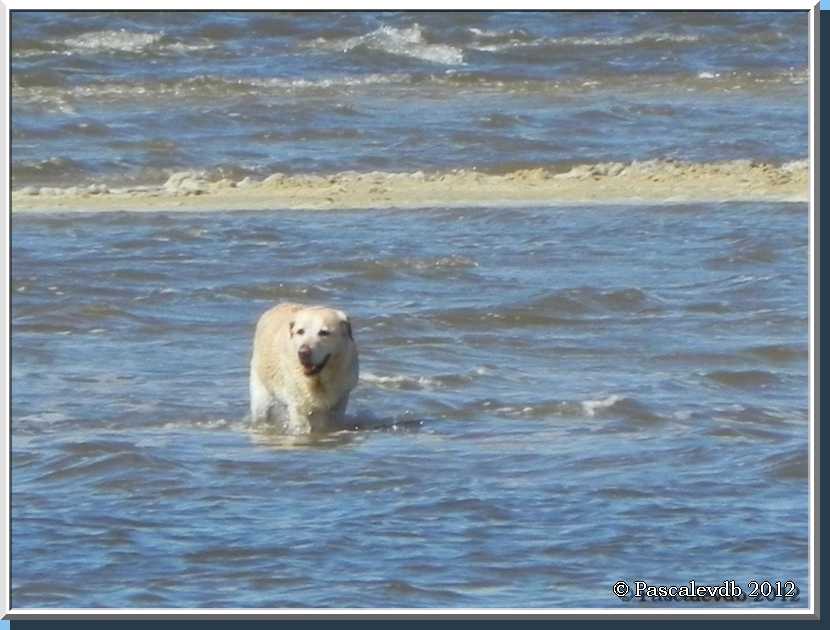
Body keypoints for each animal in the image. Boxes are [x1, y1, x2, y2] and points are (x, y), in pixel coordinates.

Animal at [250, 302, 360, 432]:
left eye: (324, 332)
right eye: (300, 331)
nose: (303, 353)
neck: (317, 381)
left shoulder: (340, 400)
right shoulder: (298, 405)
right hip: (261, 396)